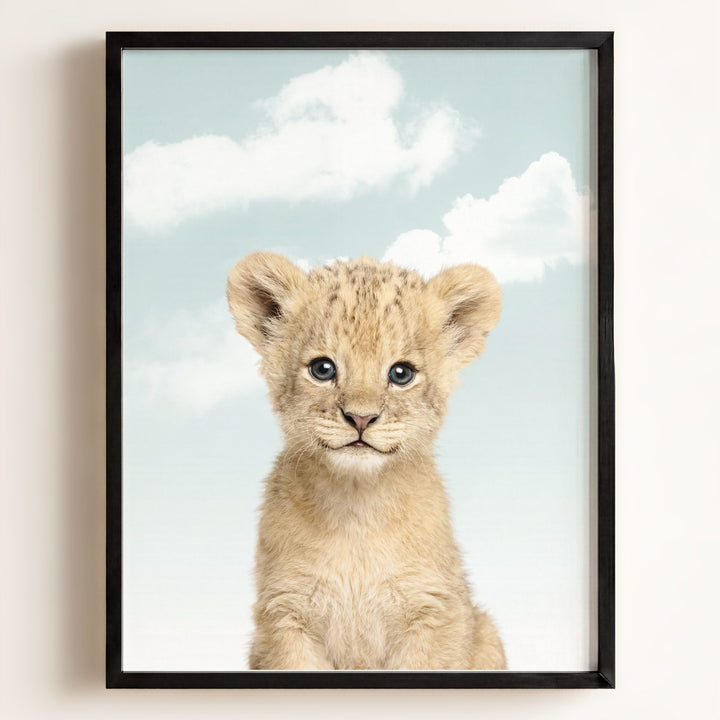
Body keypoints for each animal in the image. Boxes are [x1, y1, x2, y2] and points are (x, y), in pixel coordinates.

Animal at [227, 252, 506, 670]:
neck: (356, 509)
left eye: (401, 373)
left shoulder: (435, 612)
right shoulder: (285, 614)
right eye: (323, 369)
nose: (360, 418)